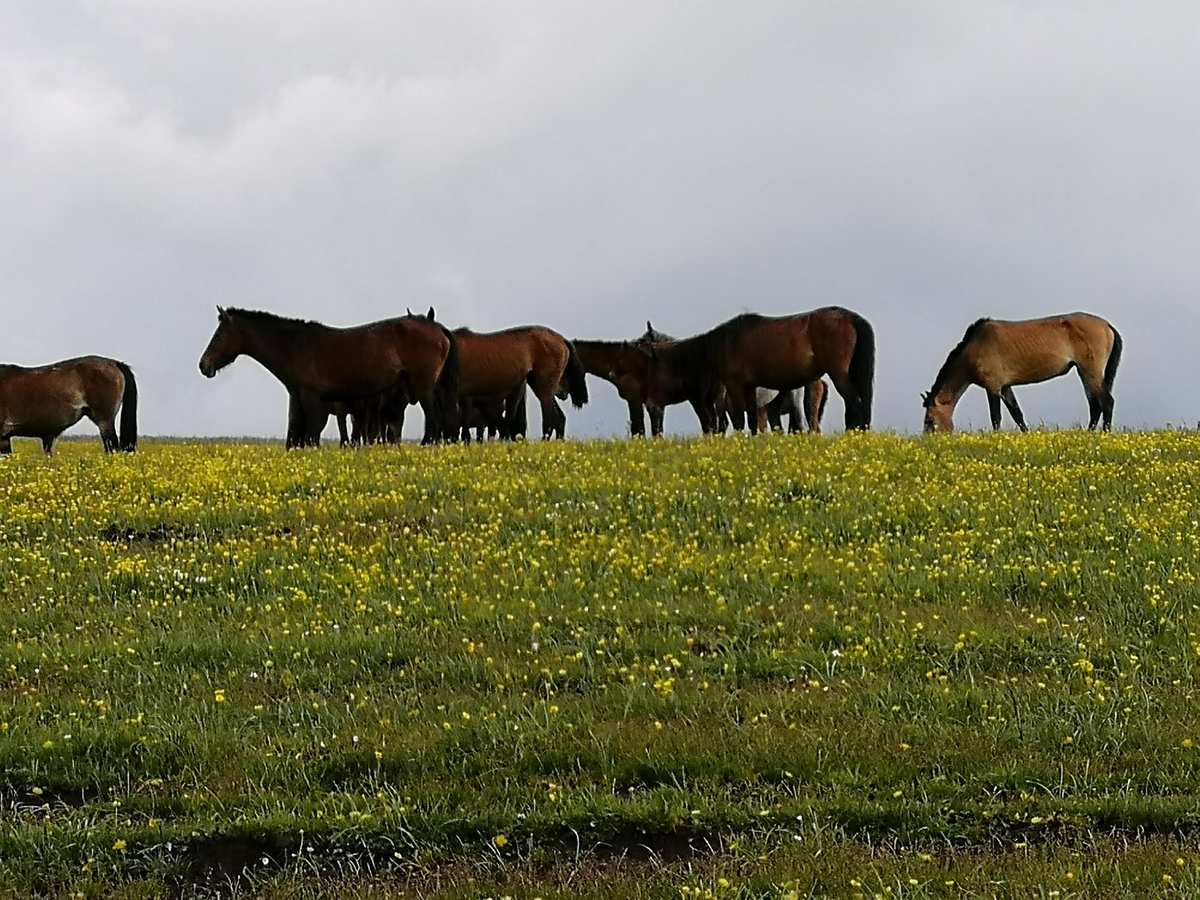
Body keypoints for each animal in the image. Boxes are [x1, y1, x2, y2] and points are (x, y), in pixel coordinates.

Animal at [199, 309, 456, 448]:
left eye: (219, 335)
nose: (204, 364)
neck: (295, 347)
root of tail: (438, 329)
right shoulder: (298, 399)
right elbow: (296, 438)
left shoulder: (313, 400)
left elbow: (311, 436)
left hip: (423, 386)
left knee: (433, 416)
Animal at [446, 326, 585, 441]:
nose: (563, 393)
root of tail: (562, 339)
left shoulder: (464, 399)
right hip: (537, 385)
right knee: (559, 419)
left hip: (543, 387)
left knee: (549, 419)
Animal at [643, 309, 878, 434]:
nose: (650, 404)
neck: (721, 344)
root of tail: (850, 318)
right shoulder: (749, 388)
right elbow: (753, 421)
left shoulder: (734, 387)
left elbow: (739, 421)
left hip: (836, 376)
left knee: (853, 404)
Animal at [916, 314, 1123, 434]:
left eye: (929, 421)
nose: (928, 442)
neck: (975, 346)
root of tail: (1107, 325)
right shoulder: (1005, 386)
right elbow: (1017, 414)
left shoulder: (993, 386)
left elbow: (996, 417)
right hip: (1084, 372)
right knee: (1095, 405)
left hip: (1091, 371)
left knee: (1106, 402)